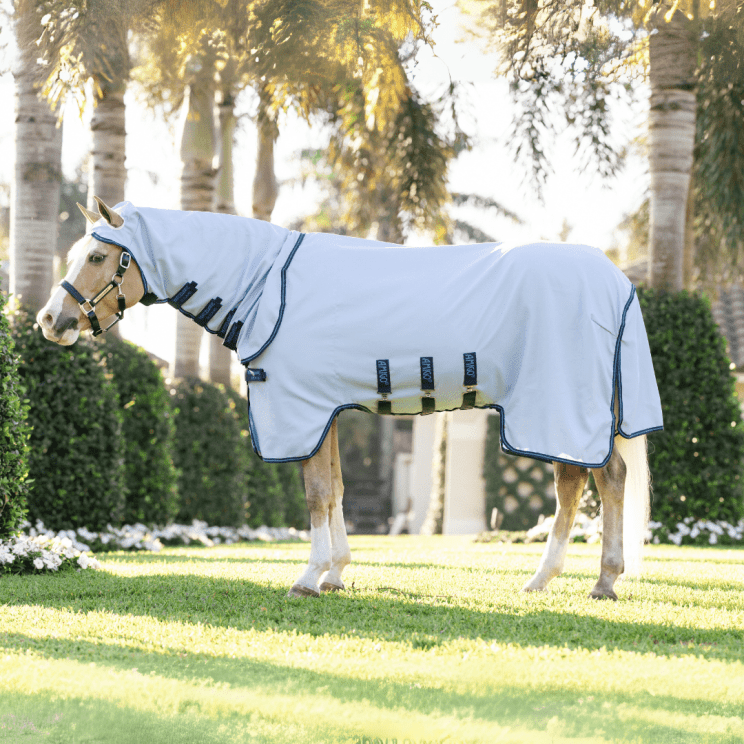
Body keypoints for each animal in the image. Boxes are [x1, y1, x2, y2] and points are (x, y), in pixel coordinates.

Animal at [37, 196, 663, 601]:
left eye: (97, 257)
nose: (50, 321)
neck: (268, 283)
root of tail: (616, 280)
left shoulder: (303, 410)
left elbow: (316, 496)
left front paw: (308, 579)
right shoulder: (327, 412)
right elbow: (335, 489)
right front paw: (336, 574)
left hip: (556, 406)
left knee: (583, 484)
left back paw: (572, 579)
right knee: (598, 482)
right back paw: (584, 581)